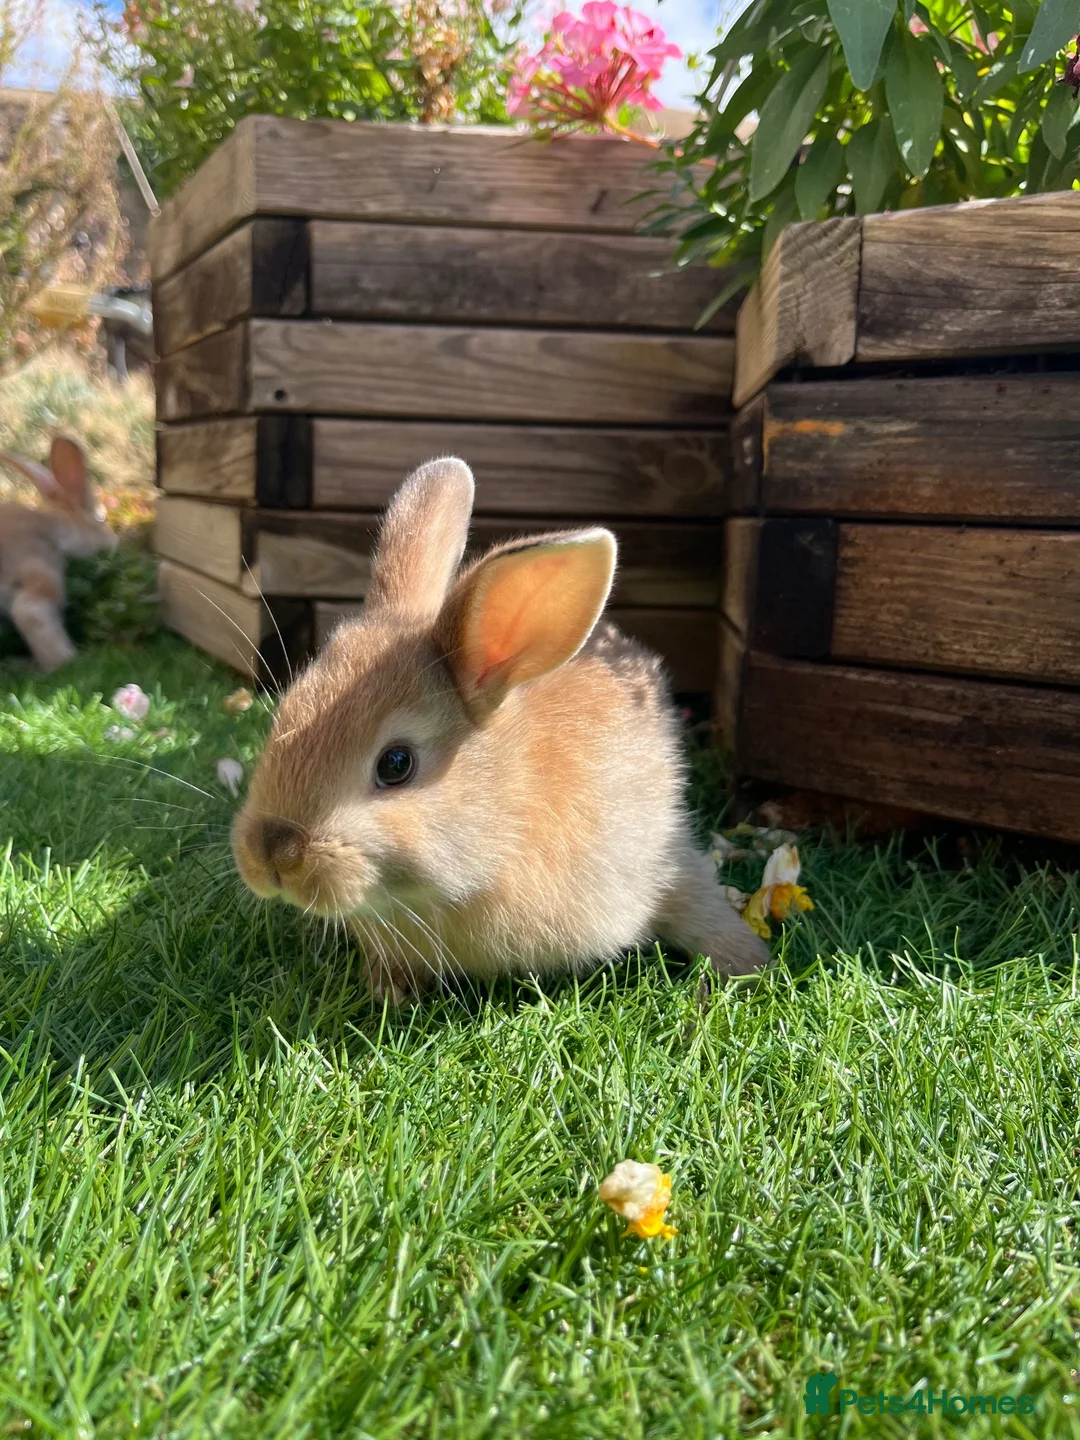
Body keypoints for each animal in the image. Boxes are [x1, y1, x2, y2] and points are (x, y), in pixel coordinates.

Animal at [0, 436, 117, 671]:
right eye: (101, 518)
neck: (56, 534)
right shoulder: (42, 574)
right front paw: (68, 659)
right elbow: (31, 615)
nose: (115, 543)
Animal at [232, 457, 768, 1002]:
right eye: (282, 716)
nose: (273, 853)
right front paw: (389, 990)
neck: (509, 821)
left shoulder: (660, 856)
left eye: (396, 764)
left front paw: (749, 965)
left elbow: (696, 903)